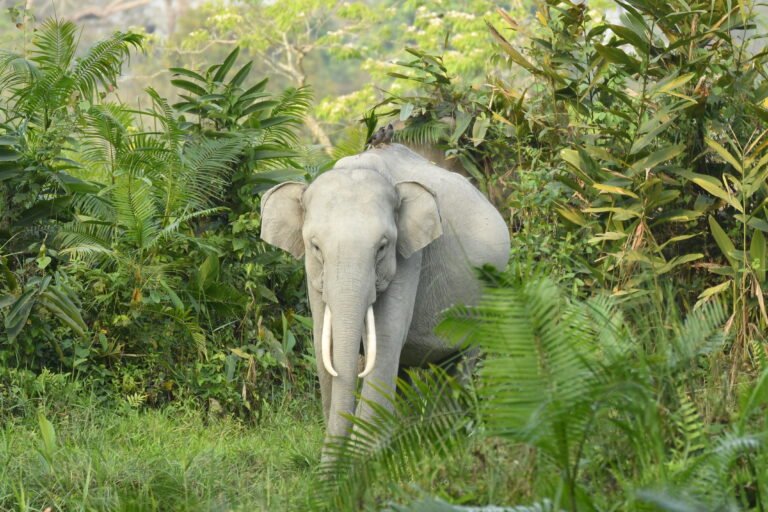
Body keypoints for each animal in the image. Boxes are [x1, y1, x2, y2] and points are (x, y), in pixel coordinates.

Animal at [260, 142, 510, 454]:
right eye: (315, 246)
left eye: (381, 247)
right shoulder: (312, 273)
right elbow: (322, 342)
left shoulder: (409, 257)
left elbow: (386, 337)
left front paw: (362, 457)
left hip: (485, 299)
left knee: (459, 363)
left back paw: (442, 439)